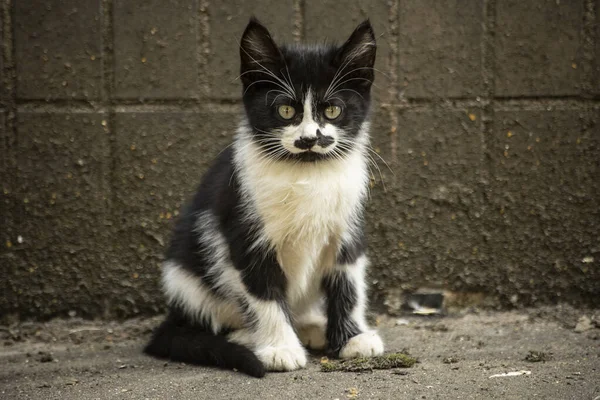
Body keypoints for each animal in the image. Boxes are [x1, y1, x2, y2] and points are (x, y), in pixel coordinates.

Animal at [144, 16, 384, 378]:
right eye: (285, 110)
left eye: (332, 110)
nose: (309, 139)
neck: (306, 172)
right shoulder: (245, 229)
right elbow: (265, 293)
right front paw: (280, 348)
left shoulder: (348, 226)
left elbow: (348, 282)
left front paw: (352, 338)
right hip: (184, 274)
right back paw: (247, 337)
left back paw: (311, 327)